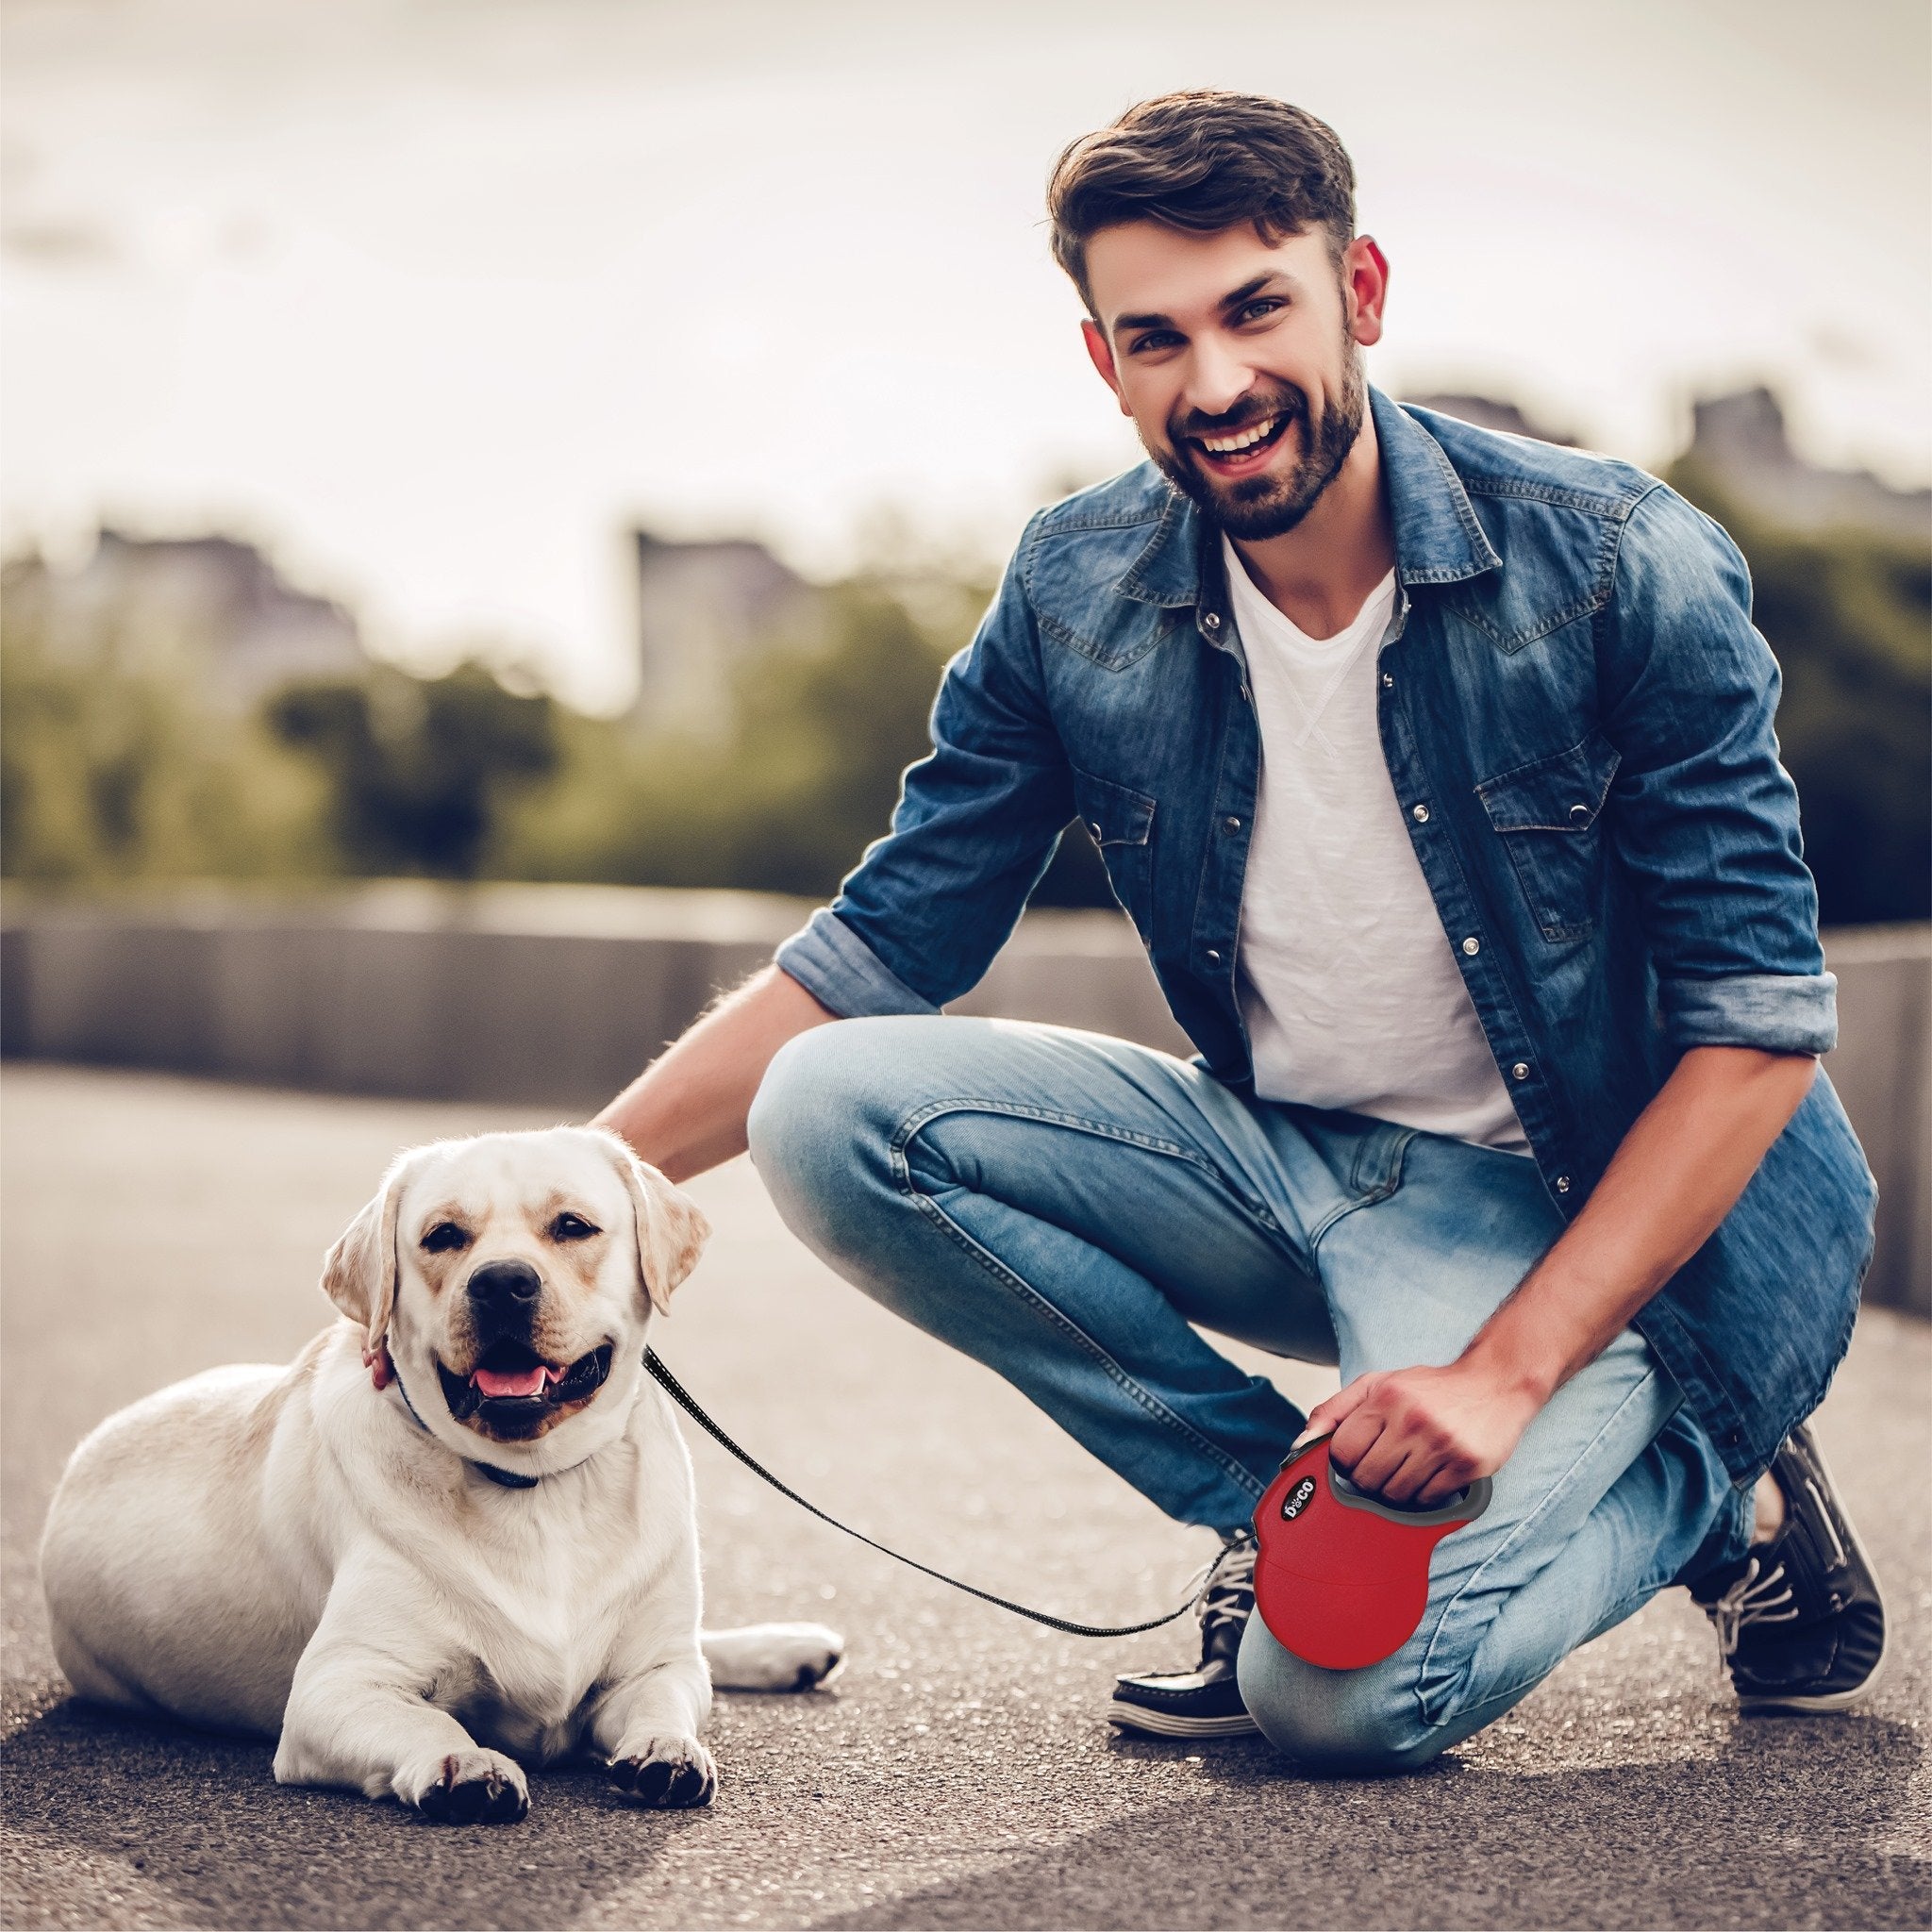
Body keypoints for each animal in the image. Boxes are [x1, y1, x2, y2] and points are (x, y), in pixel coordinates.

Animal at [37, 1128, 838, 1816]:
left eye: (572, 1226)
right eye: (443, 1236)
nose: (503, 1282)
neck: (535, 1488)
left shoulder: (654, 1666)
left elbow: (664, 1698)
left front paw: (666, 1747)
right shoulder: (335, 1685)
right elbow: (432, 1724)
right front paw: (467, 1764)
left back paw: (792, 1648)